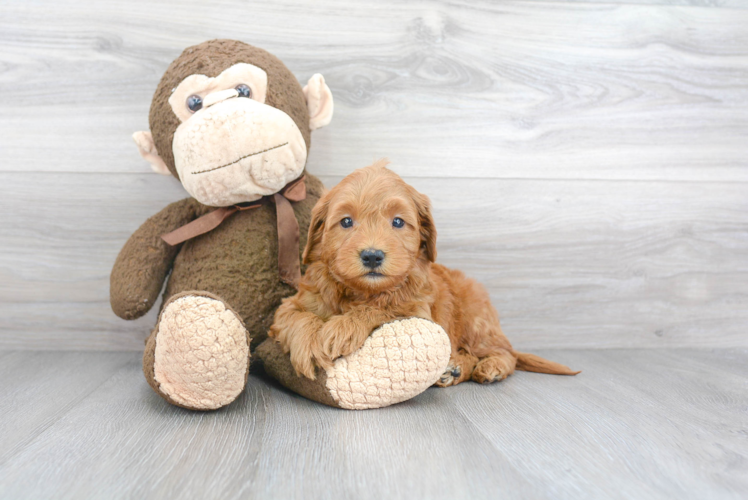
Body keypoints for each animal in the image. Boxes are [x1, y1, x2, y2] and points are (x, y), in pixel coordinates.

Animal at [268, 160, 580, 382]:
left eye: (397, 222)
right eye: (346, 222)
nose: (372, 255)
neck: (362, 292)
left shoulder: (418, 313)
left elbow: (383, 309)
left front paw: (342, 328)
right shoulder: (291, 305)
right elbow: (299, 317)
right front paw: (308, 346)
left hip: (476, 322)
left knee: (505, 353)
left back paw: (489, 367)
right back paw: (455, 369)